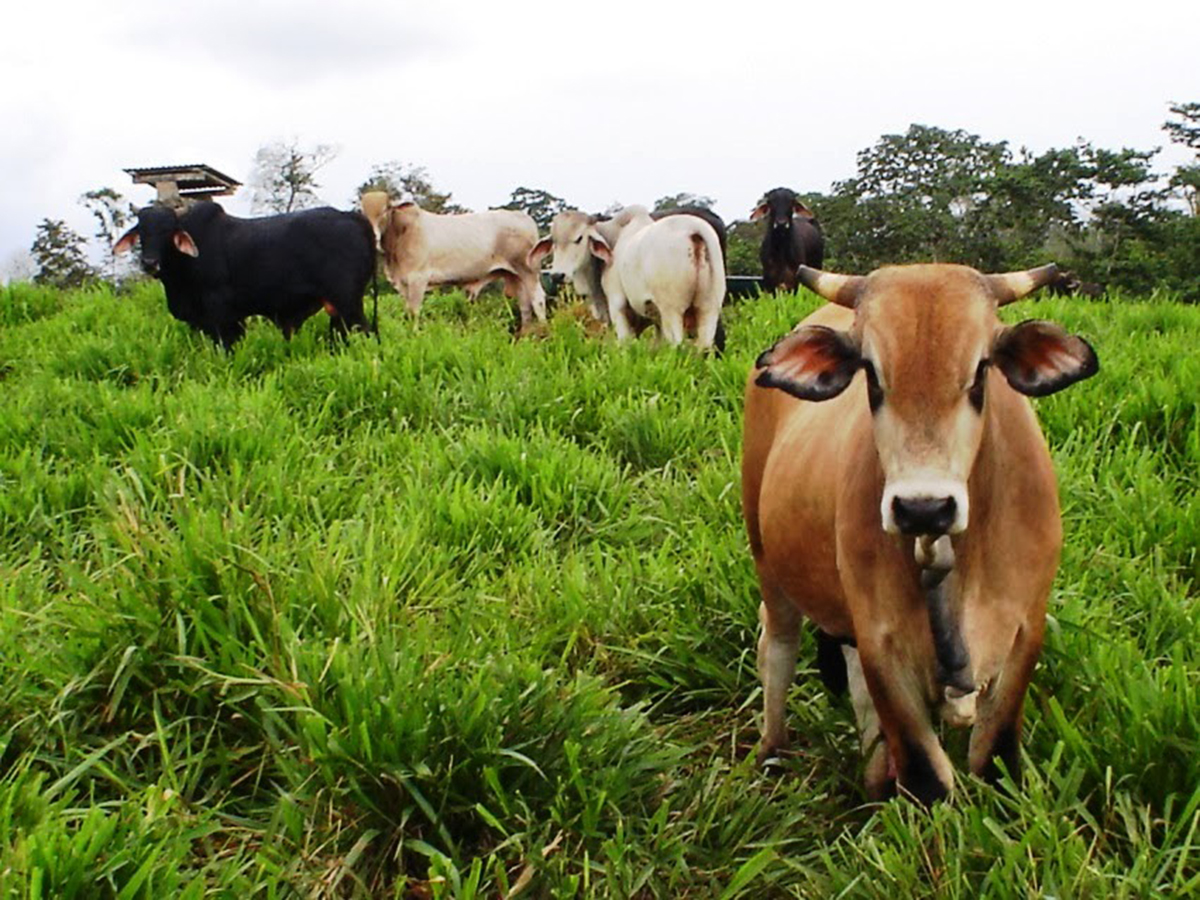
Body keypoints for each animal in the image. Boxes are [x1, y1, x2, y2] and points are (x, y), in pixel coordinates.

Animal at [113, 202, 374, 348]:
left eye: (168, 231)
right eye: (142, 231)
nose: (149, 263)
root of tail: (350, 215)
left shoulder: (222, 316)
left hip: (349, 304)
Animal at [352, 190, 547, 328]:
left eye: (385, 210)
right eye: (363, 212)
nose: (373, 236)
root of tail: (524, 217)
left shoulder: (418, 279)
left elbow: (414, 312)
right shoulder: (403, 282)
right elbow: (407, 311)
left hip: (528, 270)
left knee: (538, 299)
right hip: (514, 275)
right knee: (524, 305)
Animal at [578, 207, 724, 352]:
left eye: (580, 239)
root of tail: (694, 229)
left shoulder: (617, 304)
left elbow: (625, 341)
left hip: (672, 309)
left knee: (677, 344)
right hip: (709, 306)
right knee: (705, 345)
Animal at [744, 260, 1099, 801]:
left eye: (980, 372)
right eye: (871, 374)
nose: (923, 508)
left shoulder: (1025, 632)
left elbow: (993, 758)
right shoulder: (880, 643)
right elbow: (926, 776)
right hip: (767, 558)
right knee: (777, 648)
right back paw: (772, 749)